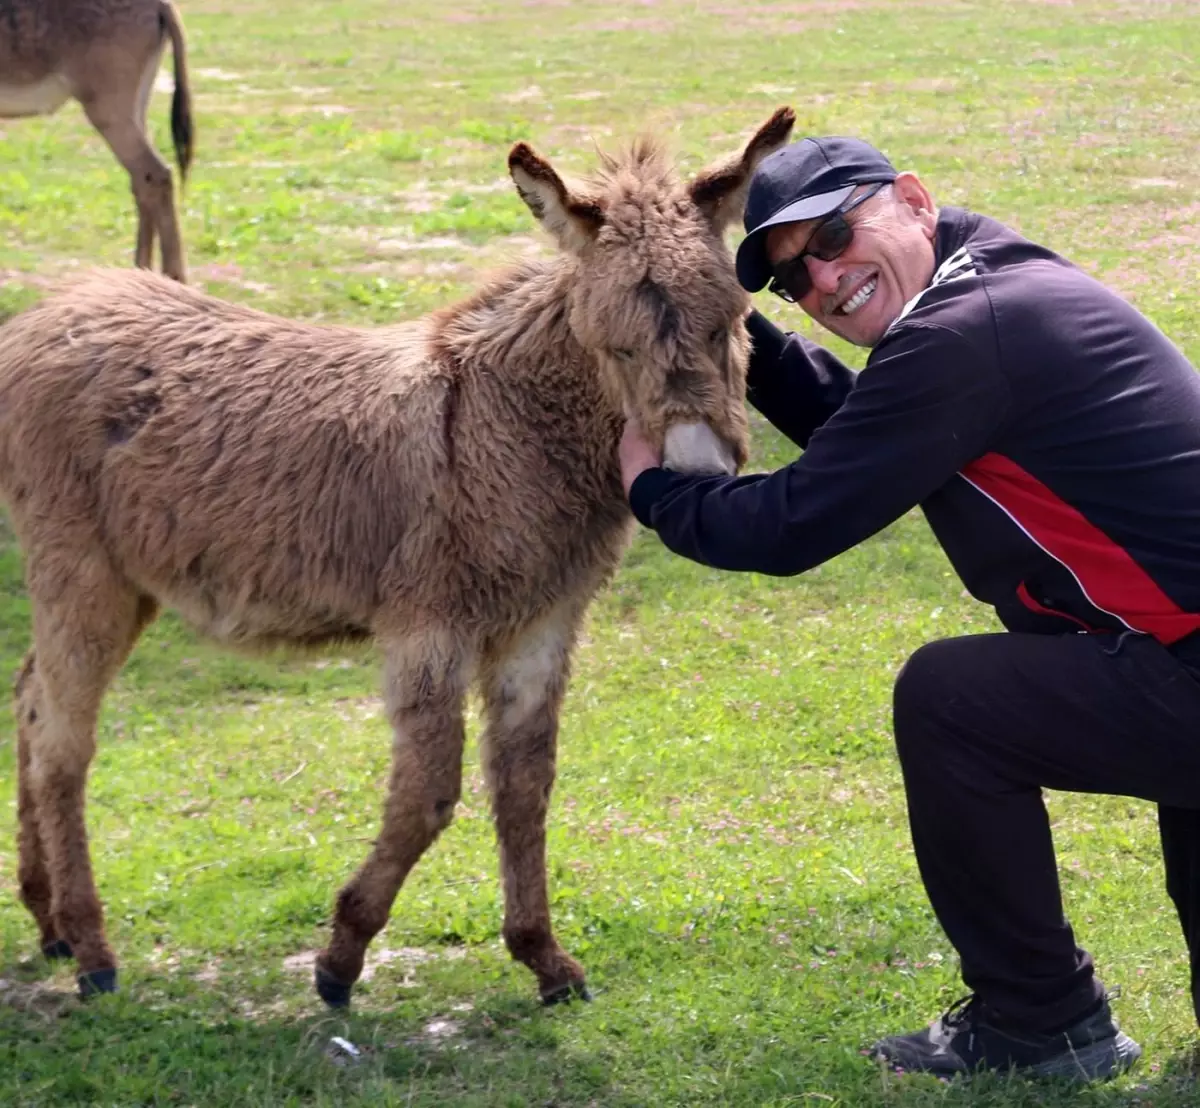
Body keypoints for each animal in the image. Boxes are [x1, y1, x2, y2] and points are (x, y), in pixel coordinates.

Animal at [0, 108, 796, 1008]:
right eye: (614, 346)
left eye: (730, 321)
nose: (697, 473)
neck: (504, 425)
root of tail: (46, 313)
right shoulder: (428, 624)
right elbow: (429, 795)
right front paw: (340, 958)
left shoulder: (541, 623)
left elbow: (525, 784)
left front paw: (543, 958)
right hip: (80, 568)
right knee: (62, 741)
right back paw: (93, 951)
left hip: (126, 582)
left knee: (30, 698)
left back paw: (48, 919)